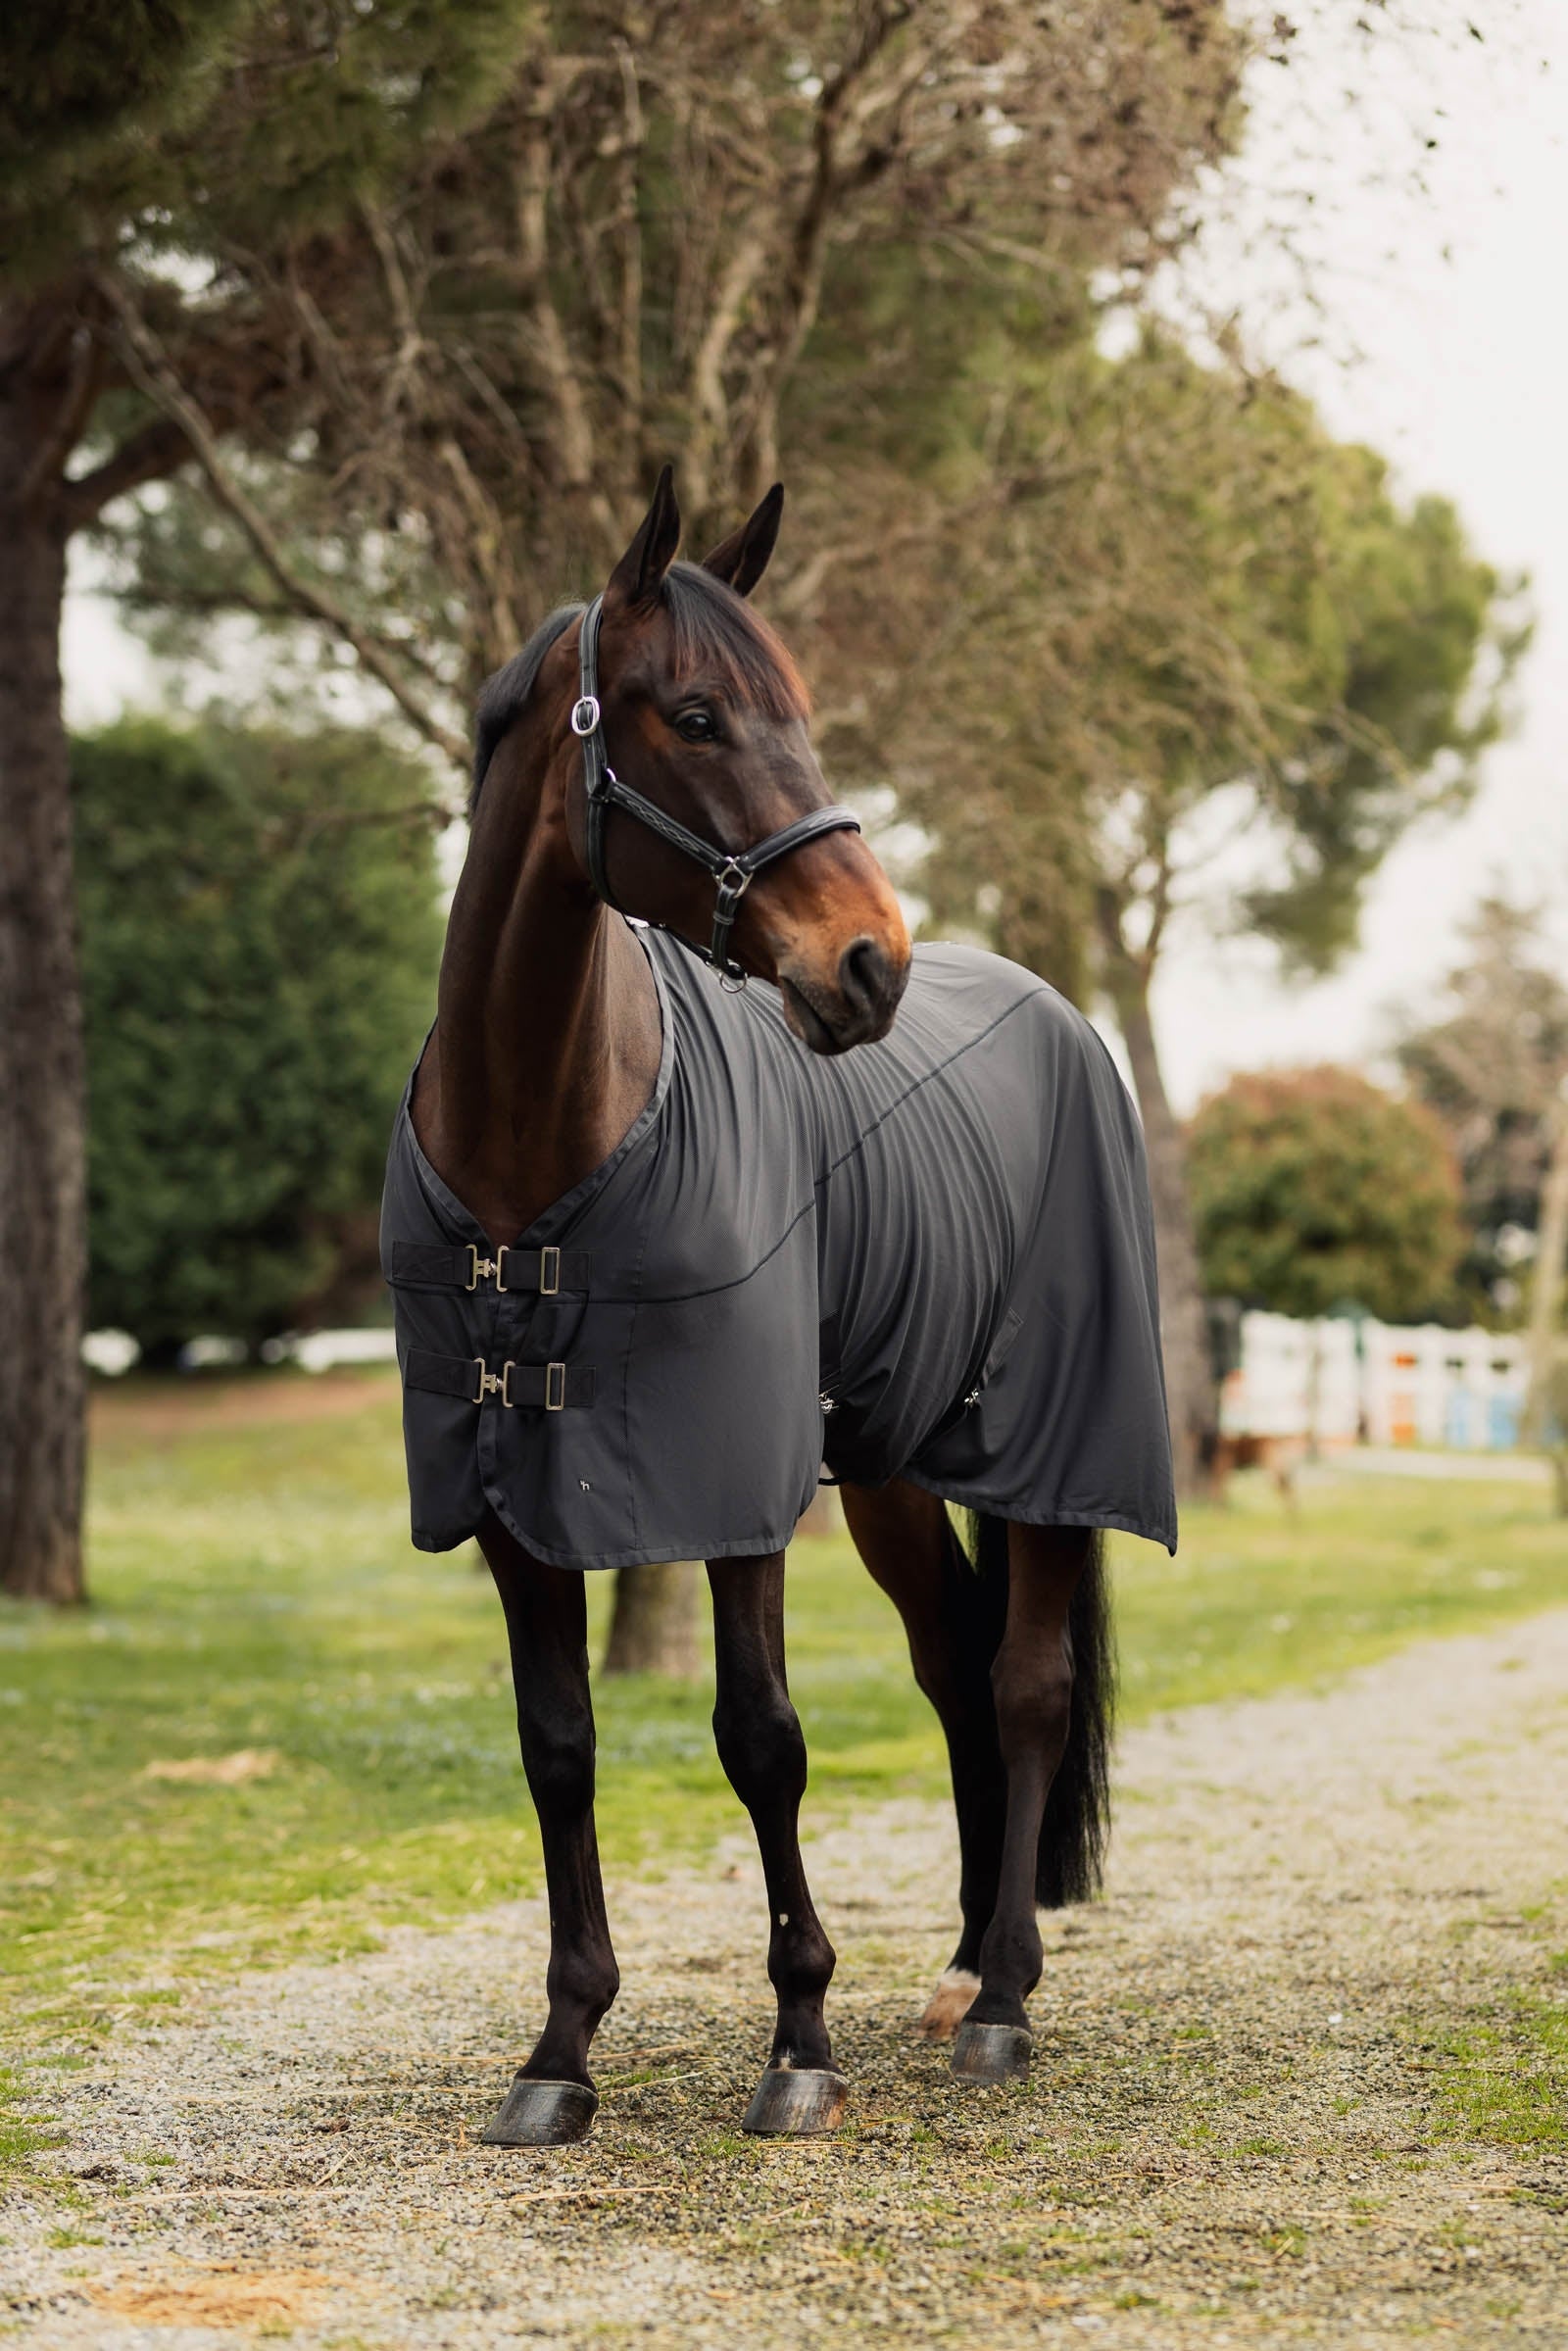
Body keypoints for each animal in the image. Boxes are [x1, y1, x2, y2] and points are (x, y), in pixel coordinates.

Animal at [381, 467, 1175, 2147]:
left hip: (1051, 1456)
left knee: (1024, 1685)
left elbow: (763, 1739)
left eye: (798, 710)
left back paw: (1002, 1998)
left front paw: (798, 2037)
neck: (542, 1141)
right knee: (955, 1668)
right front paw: (562, 2048)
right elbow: (558, 1746)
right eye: (695, 713)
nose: (870, 963)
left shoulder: (734, 1482)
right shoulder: (510, 1499)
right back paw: (960, 1959)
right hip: (885, 1469)